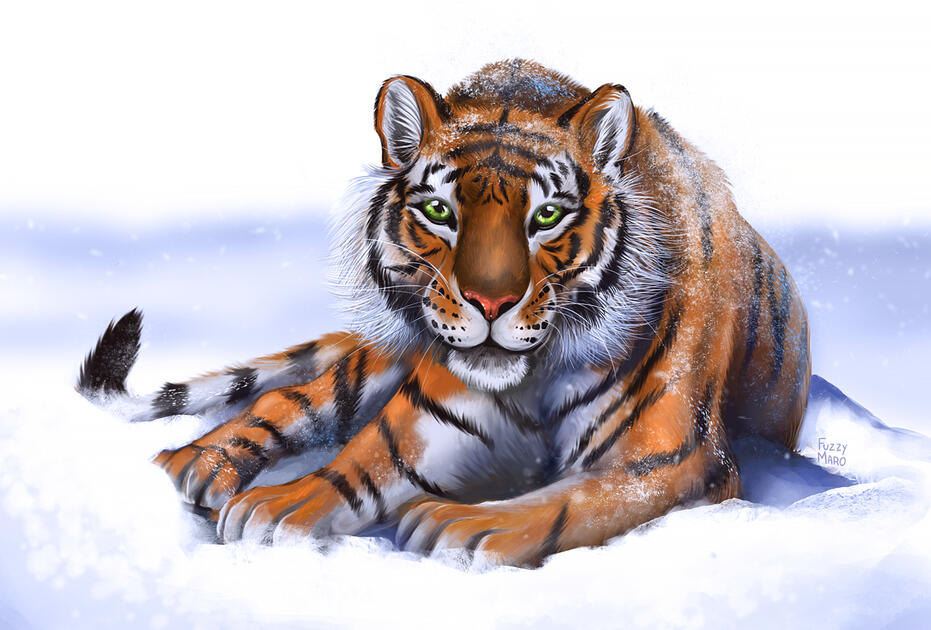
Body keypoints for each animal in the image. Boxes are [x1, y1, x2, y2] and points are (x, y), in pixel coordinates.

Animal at [77, 59, 810, 567]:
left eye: (547, 217)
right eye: (439, 211)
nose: (489, 303)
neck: (538, 371)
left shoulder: (671, 455)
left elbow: (578, 499)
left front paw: (469, 522)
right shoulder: (430, 413)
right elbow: (363, 461)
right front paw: (279, 504)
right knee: (288, 400)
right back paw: (194, 462)